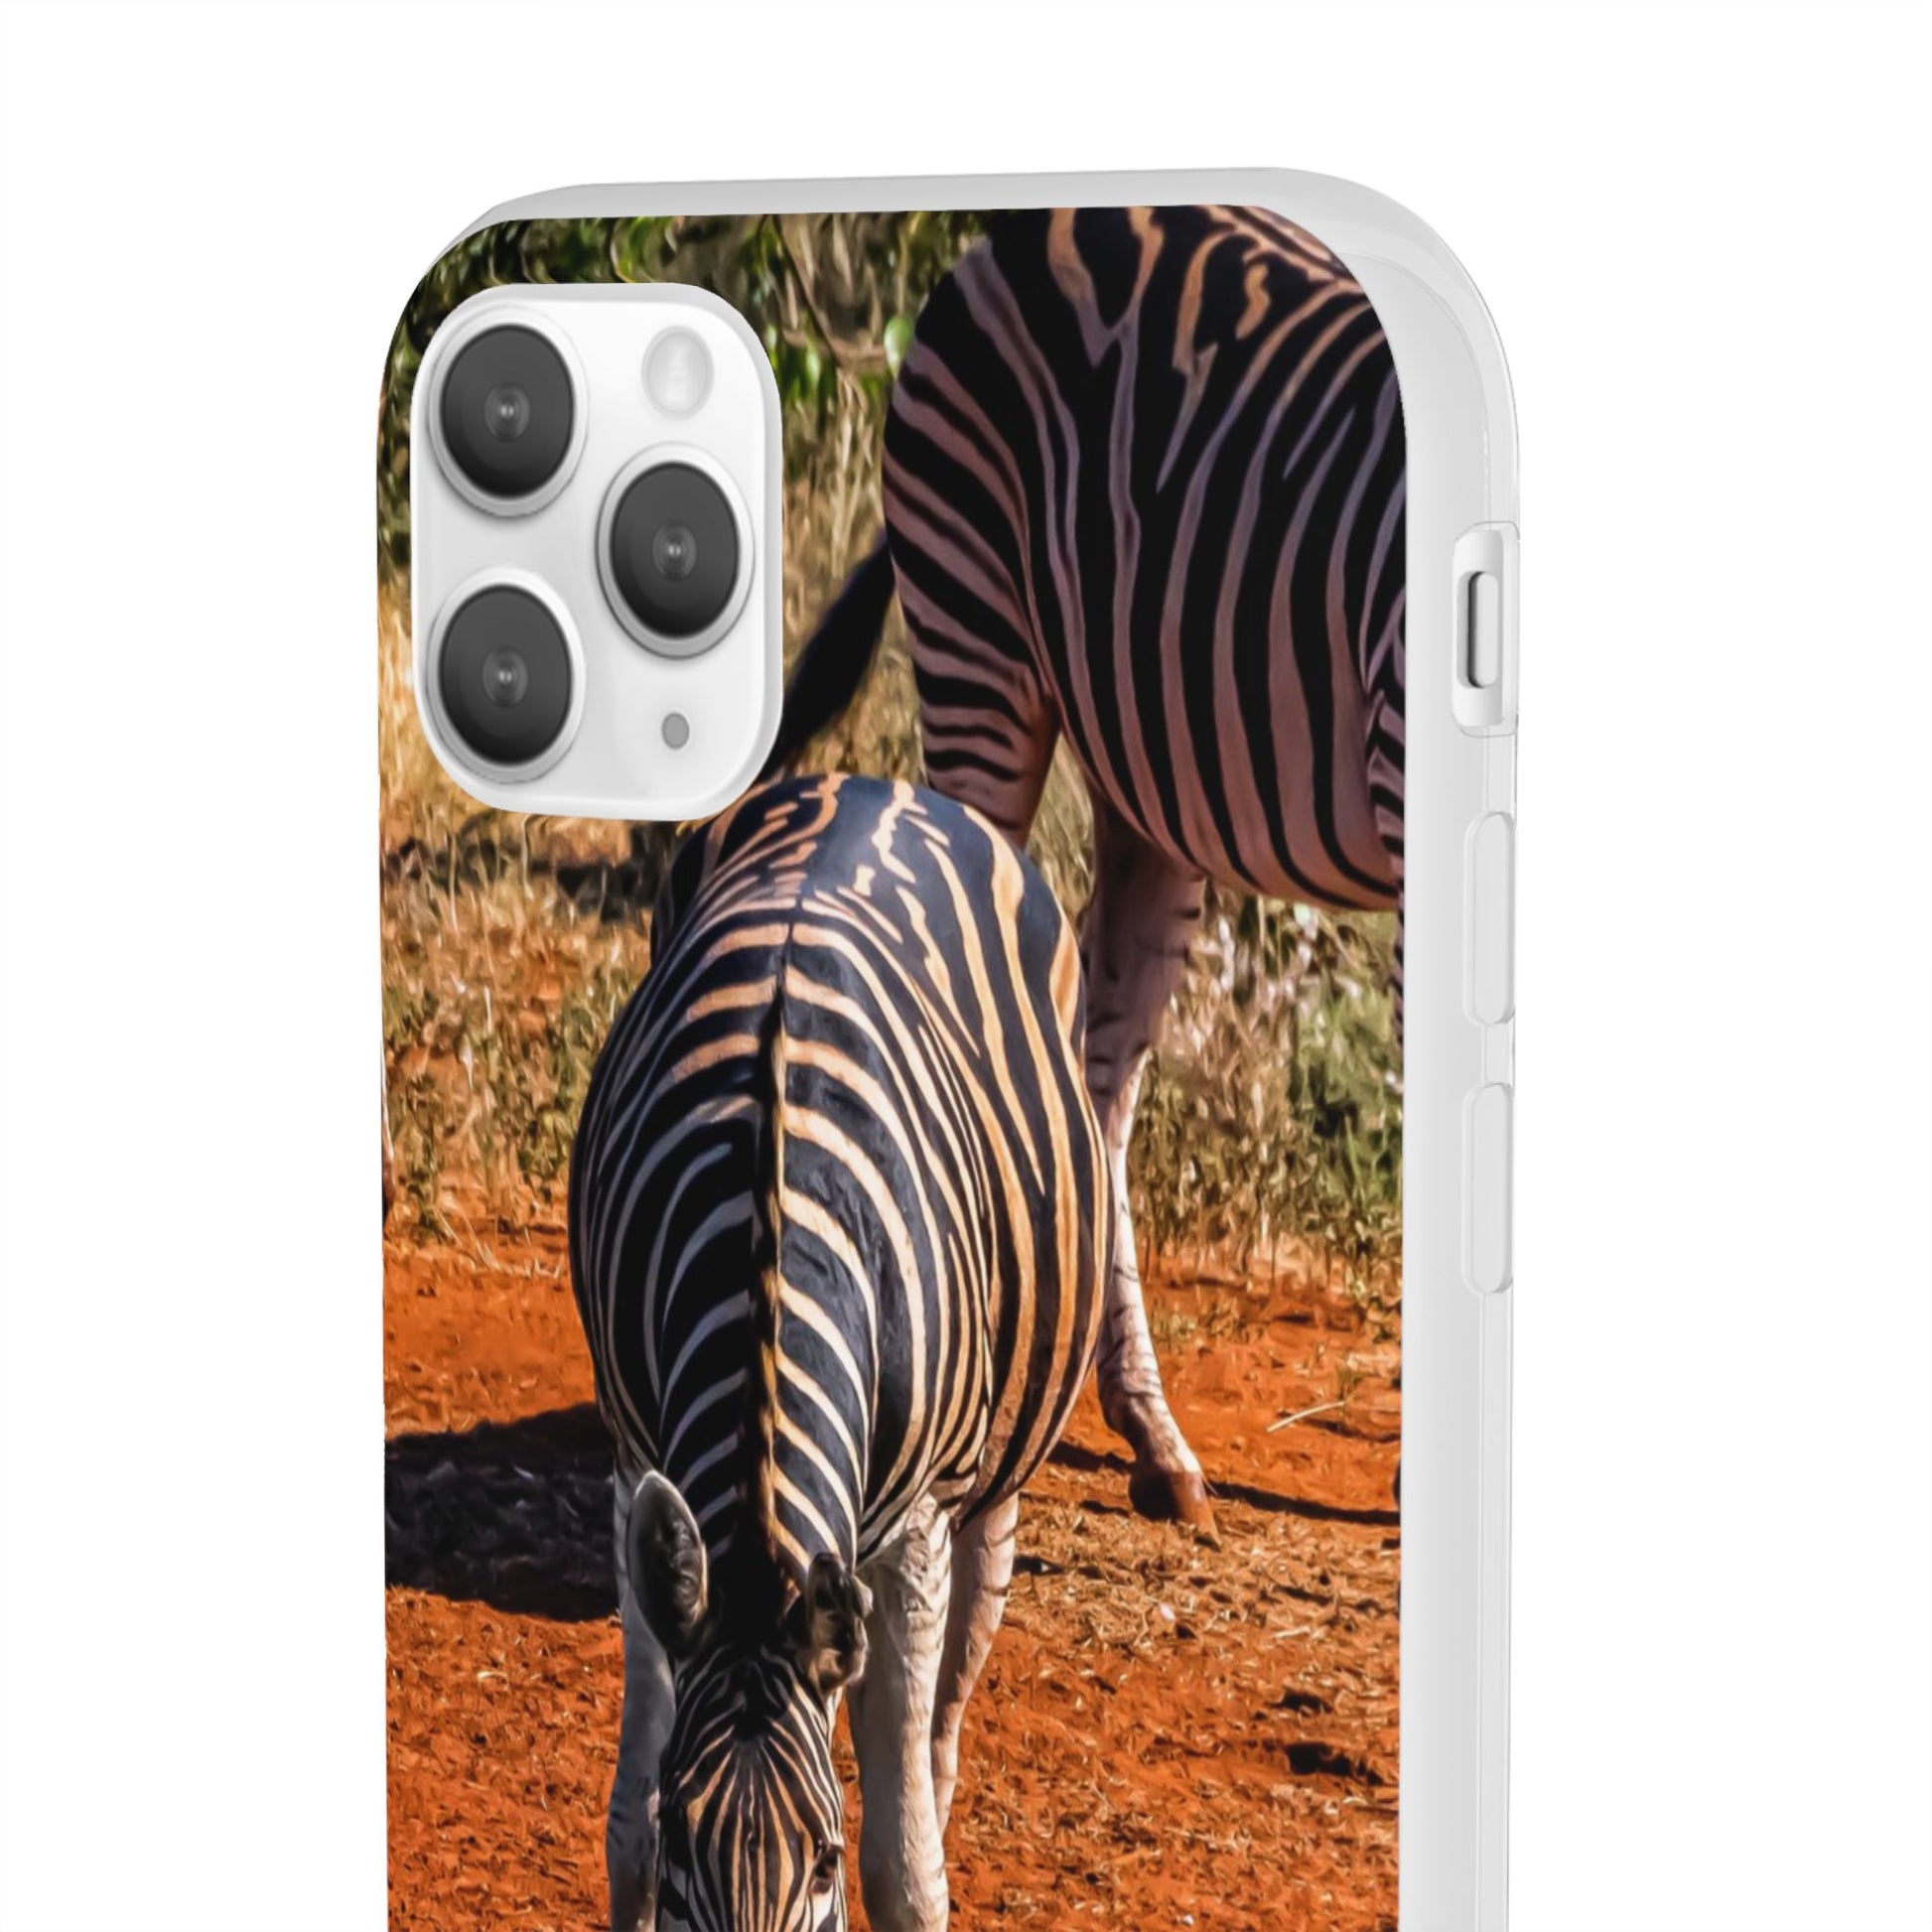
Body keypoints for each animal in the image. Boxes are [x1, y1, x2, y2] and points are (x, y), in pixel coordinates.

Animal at [569, 772, 1107, 1931]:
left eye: (819, 1862)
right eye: (686, 1854)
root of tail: (869, 781)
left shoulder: (912, 1530)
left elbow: (904, 1871)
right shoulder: (635, 1462)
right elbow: (628, 1816)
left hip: (991, 1471)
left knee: (948, 1695)